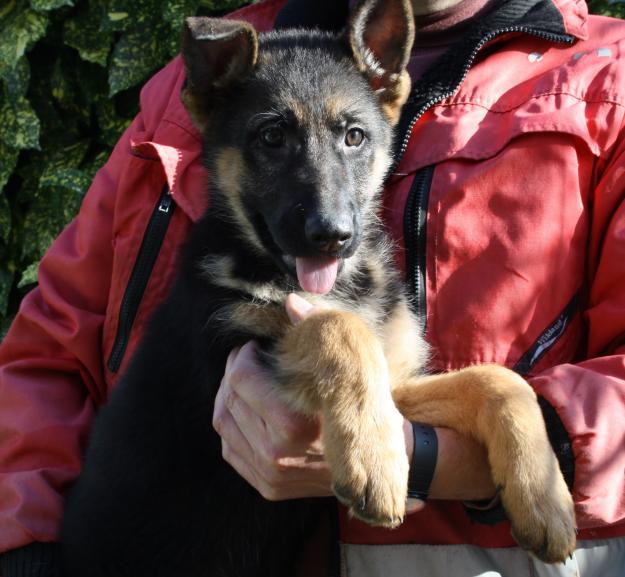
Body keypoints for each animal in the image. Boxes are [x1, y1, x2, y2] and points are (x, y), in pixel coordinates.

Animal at [62, 0, 576, 572]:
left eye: (354, 136)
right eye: (271, 138)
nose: (332, 235)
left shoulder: (393, 383)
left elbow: (495, 381)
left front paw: (545, 495)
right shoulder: (243, 346)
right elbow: (336, 326)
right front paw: (374, 461)